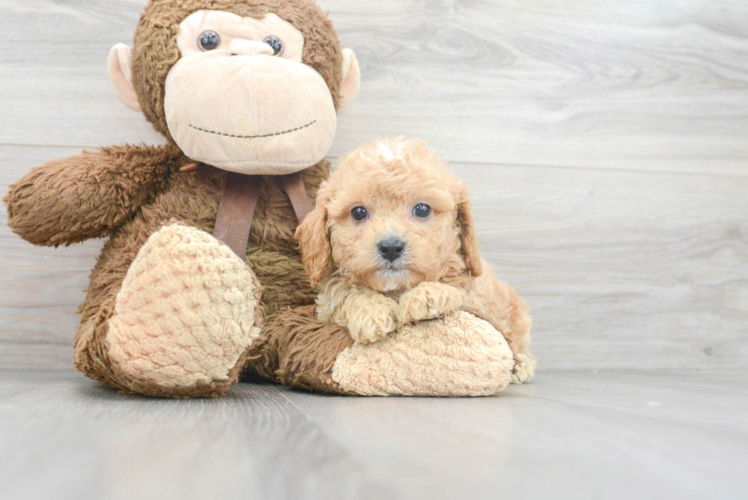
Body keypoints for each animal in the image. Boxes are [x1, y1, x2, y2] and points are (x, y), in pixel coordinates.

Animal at [296, 139, 536, 384]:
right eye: (358, 212)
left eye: (422, 209)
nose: (391, 247)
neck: (396, 289)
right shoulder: (327, 306)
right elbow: (342, 293)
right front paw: (371, 311)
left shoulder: (479, 299)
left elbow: (459, 291)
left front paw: (427, 295)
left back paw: (521, 364)